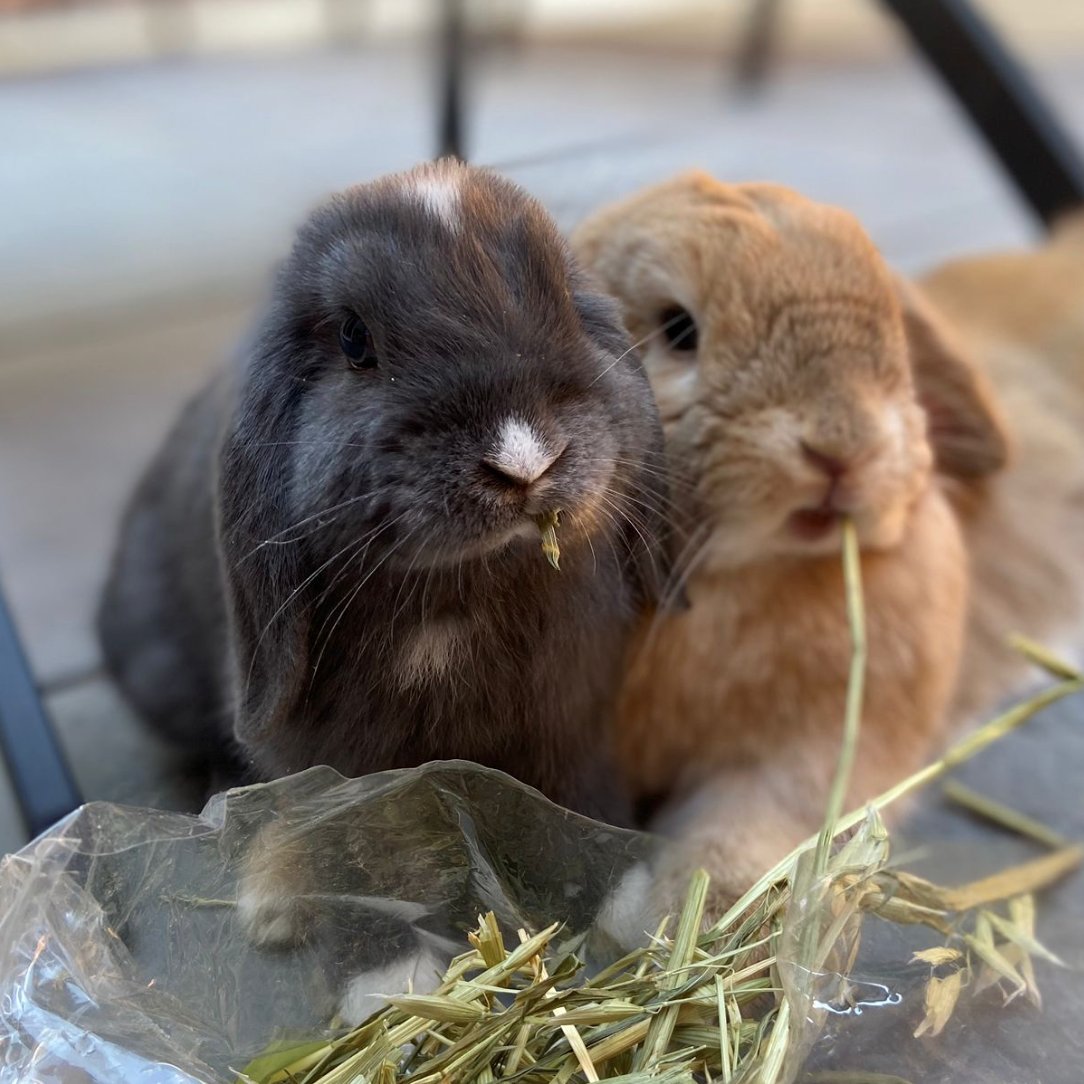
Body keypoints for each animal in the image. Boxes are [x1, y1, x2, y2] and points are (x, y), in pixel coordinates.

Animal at [571, 171, 1011, 914]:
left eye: (891, 328)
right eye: (678, 329)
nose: (842, 447)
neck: (732, 577)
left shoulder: (798, 758)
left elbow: (745, 828)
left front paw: (703, 905)